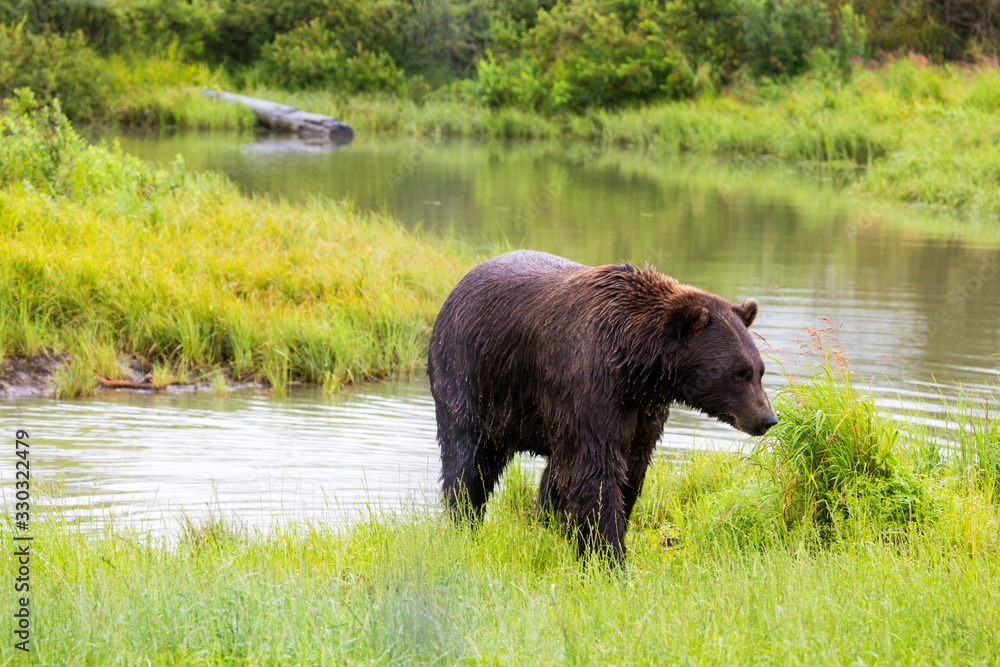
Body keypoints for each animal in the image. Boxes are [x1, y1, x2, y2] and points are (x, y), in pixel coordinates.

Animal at [426, 250, 776, 564]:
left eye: (759, 370)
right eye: (739, 373)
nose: (767, 419)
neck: (636, 366)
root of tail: (457, 287)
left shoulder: (642, 410)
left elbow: (630, 467)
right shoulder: (587, 384)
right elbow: (595, 469)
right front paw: (608, 556)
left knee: (552, 470)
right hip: (470, 377)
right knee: (467, 459)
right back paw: (464, 522)